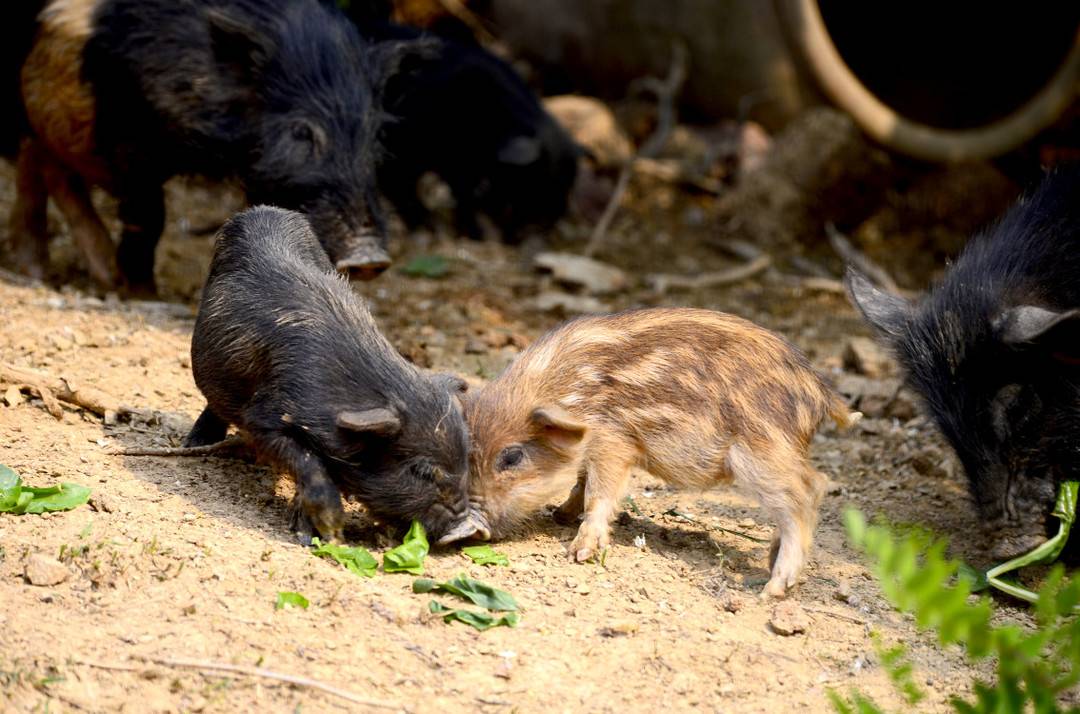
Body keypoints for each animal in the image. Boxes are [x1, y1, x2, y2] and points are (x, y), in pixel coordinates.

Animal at [7, 0, 401, 289]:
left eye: (374, 133)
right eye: (300, 131)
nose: (370, 258)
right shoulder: (128, 132)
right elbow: (147, 214)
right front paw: (142, 291)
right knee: (46, 162)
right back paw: (87, 276)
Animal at [187, 206, 479, 546]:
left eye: (466, 461)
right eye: (420, 471)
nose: (466, 528)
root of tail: (266, 209)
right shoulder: (266, 416)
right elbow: (308, 460)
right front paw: (326, 533)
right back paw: (193, 444)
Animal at [460, 306, 855, 596]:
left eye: (512, 457)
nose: (475, 529)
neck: (573, 391)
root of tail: (819, 391)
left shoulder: (615, 441)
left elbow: (599, 492)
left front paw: (579, 554)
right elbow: (580, 482)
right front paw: (560, 515)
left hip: (762, 452)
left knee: (809, 489)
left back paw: (772, 589)